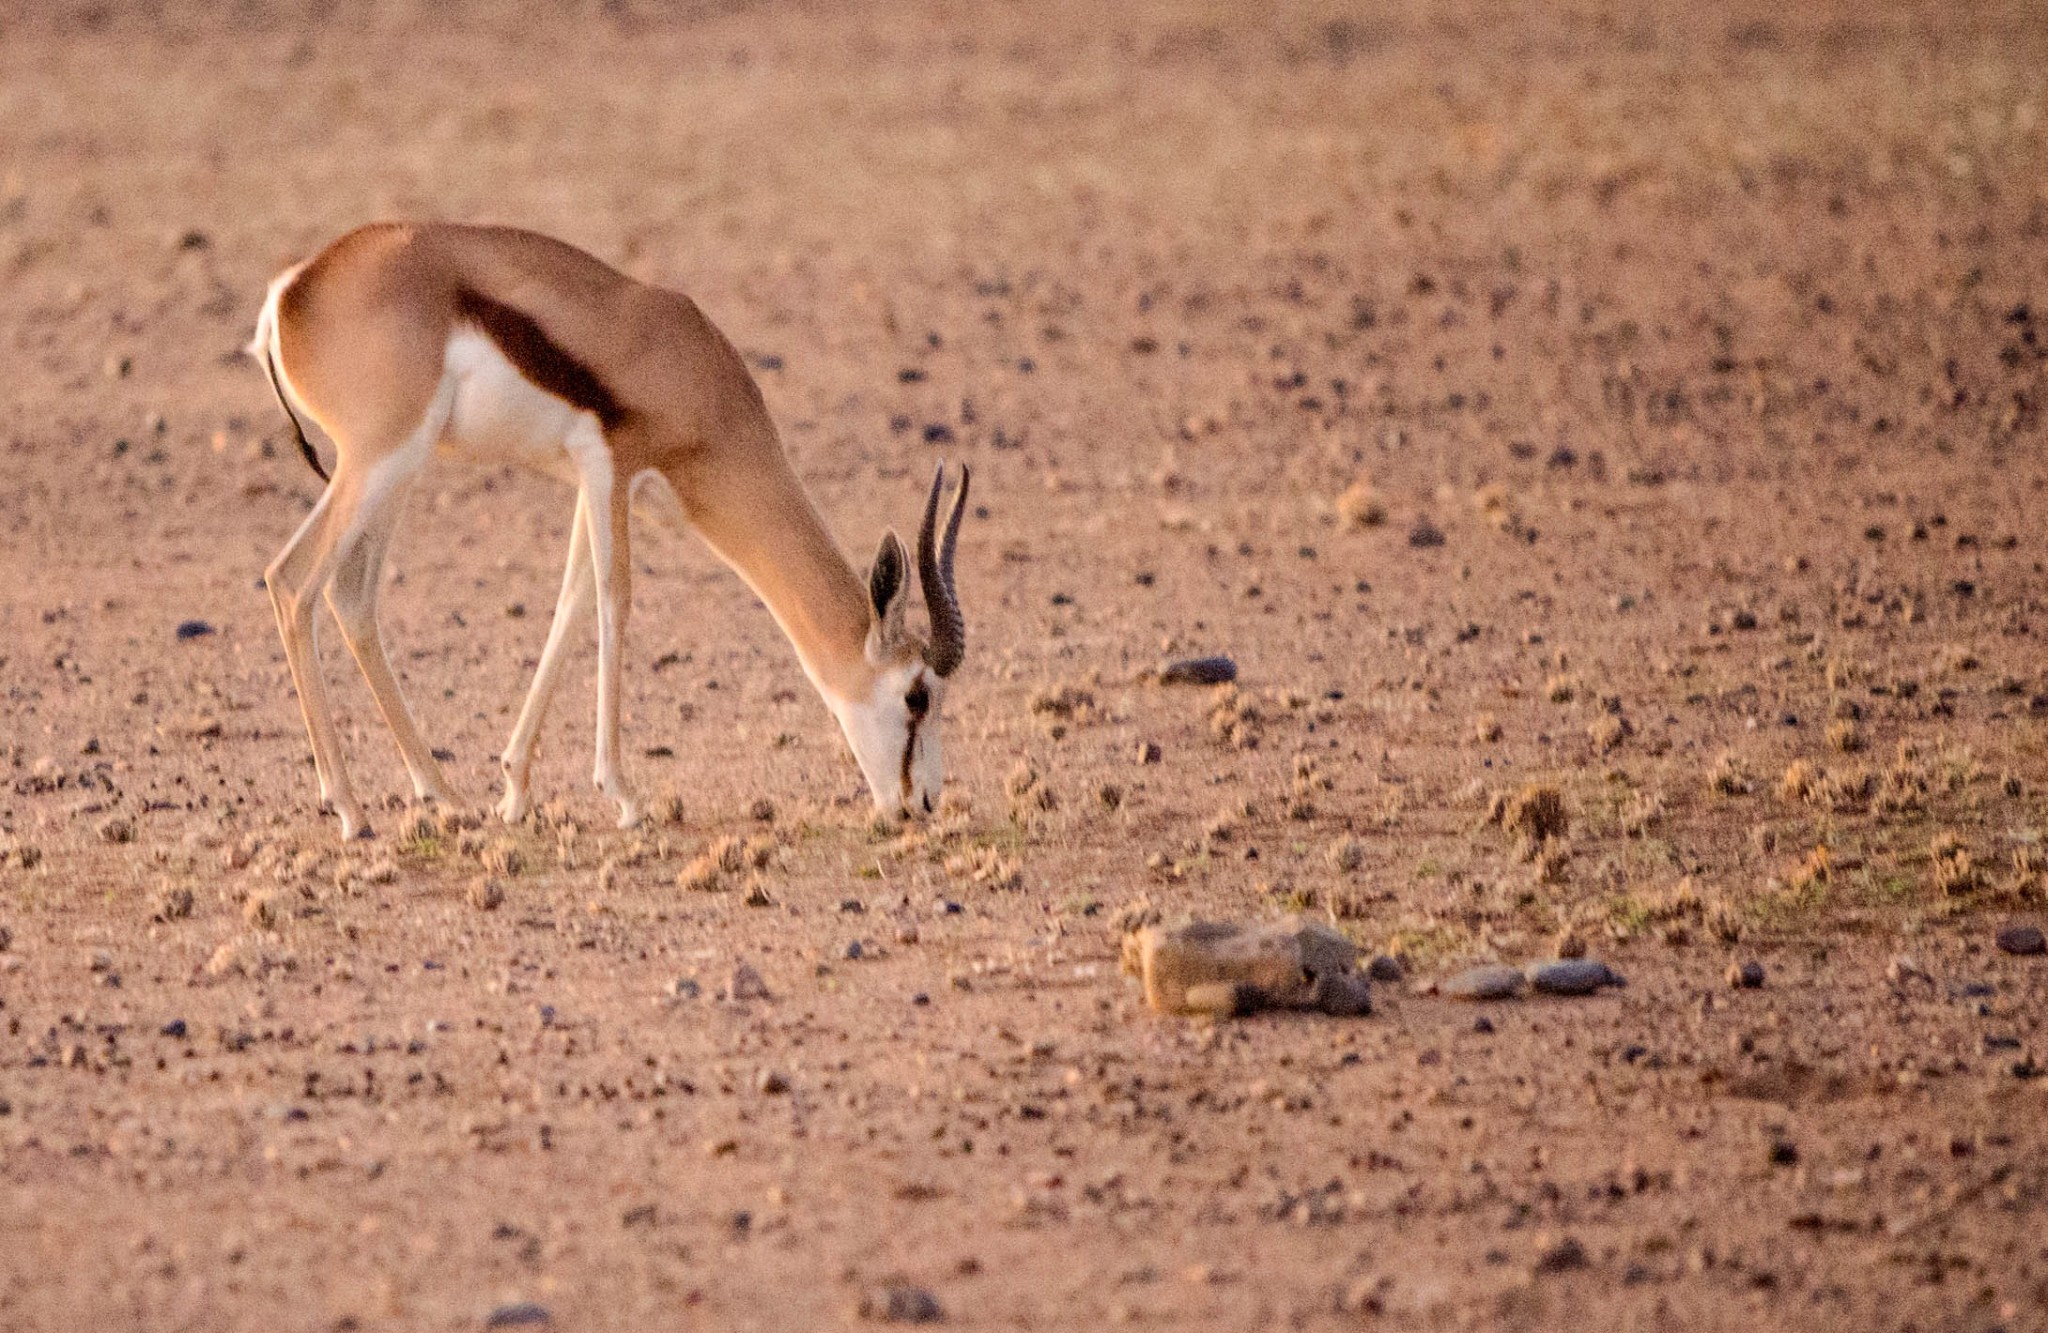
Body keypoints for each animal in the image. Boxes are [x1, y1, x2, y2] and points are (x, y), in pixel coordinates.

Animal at [251, 223, 970, 839]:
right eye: (917, 696)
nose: (923, 801)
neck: (695, 375)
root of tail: (291, 289)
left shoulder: (590, 484)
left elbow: (570, 606)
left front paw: (515, 790)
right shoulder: (608, 467)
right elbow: (613, 601)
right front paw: (623, 795)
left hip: (397, 471)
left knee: (351, 596)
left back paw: (447, 797)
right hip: (377, 461)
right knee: (290, 580)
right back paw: (350, 808)